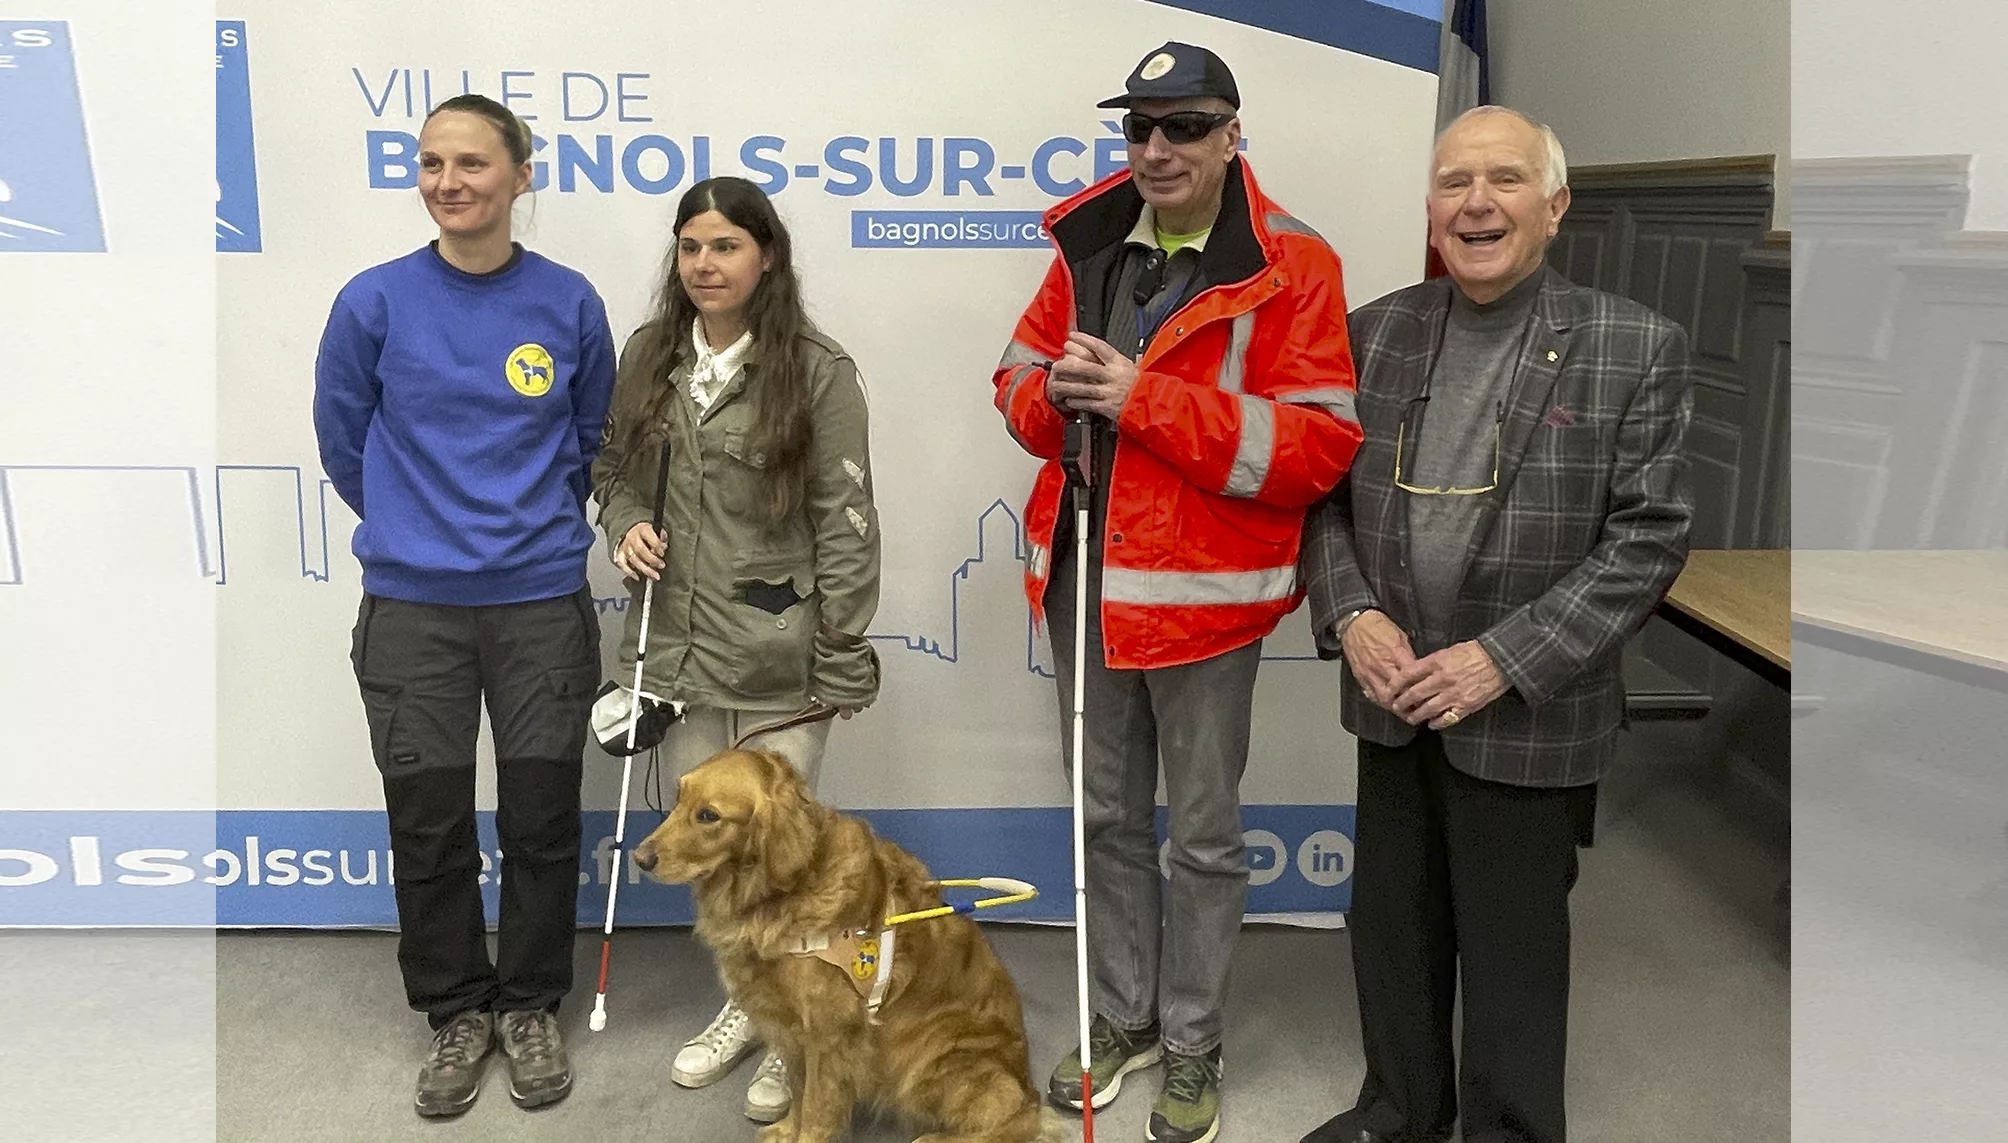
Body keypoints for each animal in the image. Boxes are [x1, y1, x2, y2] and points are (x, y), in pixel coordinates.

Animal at [630, 747, 1076, 1140]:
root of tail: (1027, 1081)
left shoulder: (830, 1034)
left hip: (929, 1059)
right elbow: (799, 1094)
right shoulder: (793, 1031)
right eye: (677, 800)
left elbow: (818, 1108)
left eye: (709, 816)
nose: (639, 858)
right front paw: (787, 1130)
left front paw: (806, 1136)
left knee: (1017, 1119)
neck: (781, 893)